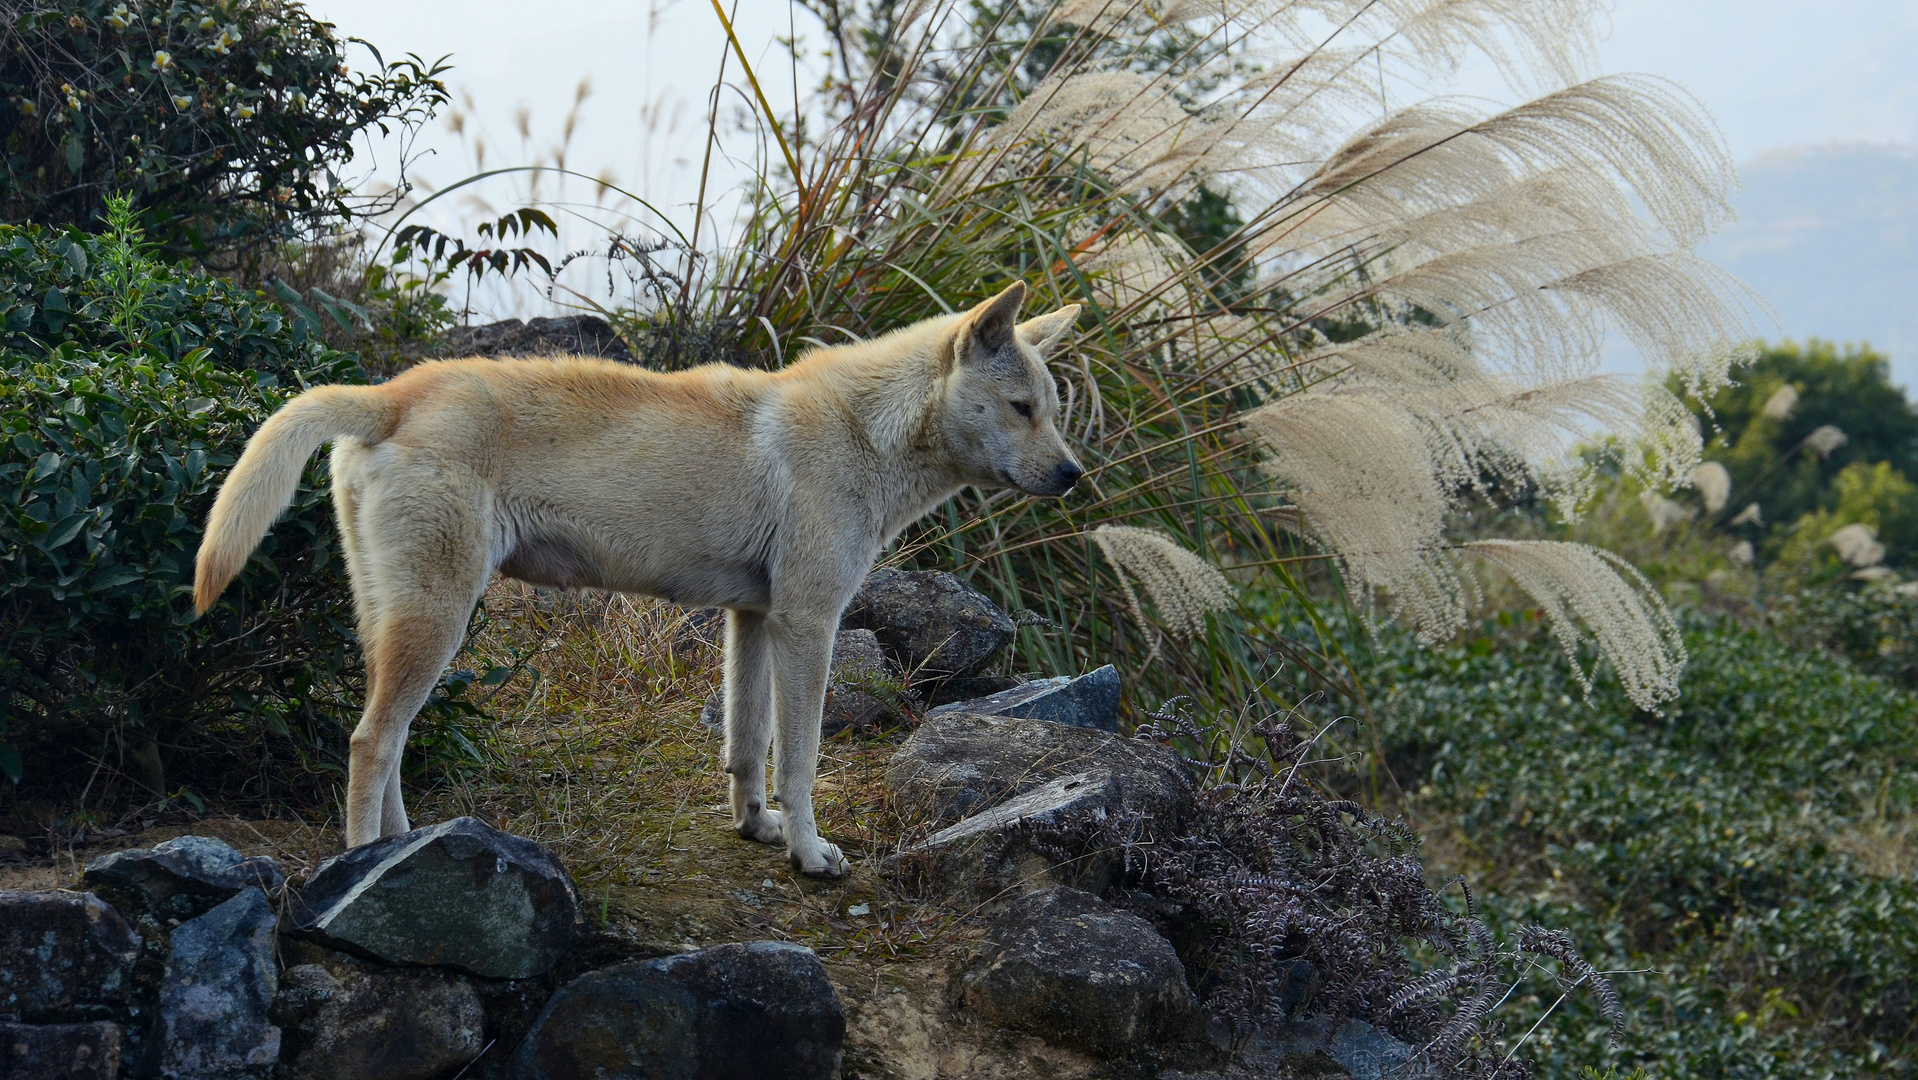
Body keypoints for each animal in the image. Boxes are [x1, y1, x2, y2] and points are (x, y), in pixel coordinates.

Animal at [200, 281, 1089, 878]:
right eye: (1021, 407)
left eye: (1051, 409)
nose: (1074, 475)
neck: (862, 431)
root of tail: (390, 394)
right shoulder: (809, 625)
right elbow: (799, 762)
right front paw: (808, 853)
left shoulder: (752, 621)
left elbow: (746, 747)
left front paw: (757, 829)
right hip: (436, 621)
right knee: (369, 743)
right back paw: (359, 866)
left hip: (402, 622)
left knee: (386, 743)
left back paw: (402, 849)